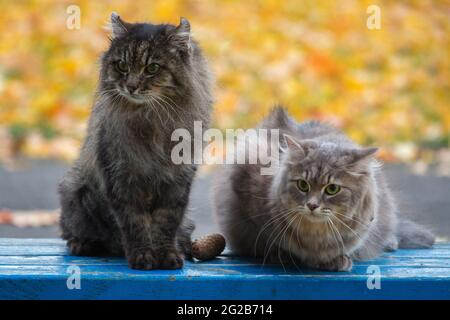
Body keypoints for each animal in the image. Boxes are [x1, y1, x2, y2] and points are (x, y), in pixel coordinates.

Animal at [59, 13, 213, 270]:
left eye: (152, 68)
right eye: (122, 66)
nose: (131, 86)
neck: (150, 119)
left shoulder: (177, 182)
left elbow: (165, 223)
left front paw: (167, 255)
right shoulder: (120, 177)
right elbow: (135, 224)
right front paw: (143, 256)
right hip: (75, 192)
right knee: (74, 232)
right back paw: (83, 245)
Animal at [215, 109, 436, 272]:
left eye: (332, 189)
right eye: (302, 185)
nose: (312, 205)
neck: (315, 237)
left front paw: (336, 260)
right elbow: (267, 240)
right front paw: (282, 256)